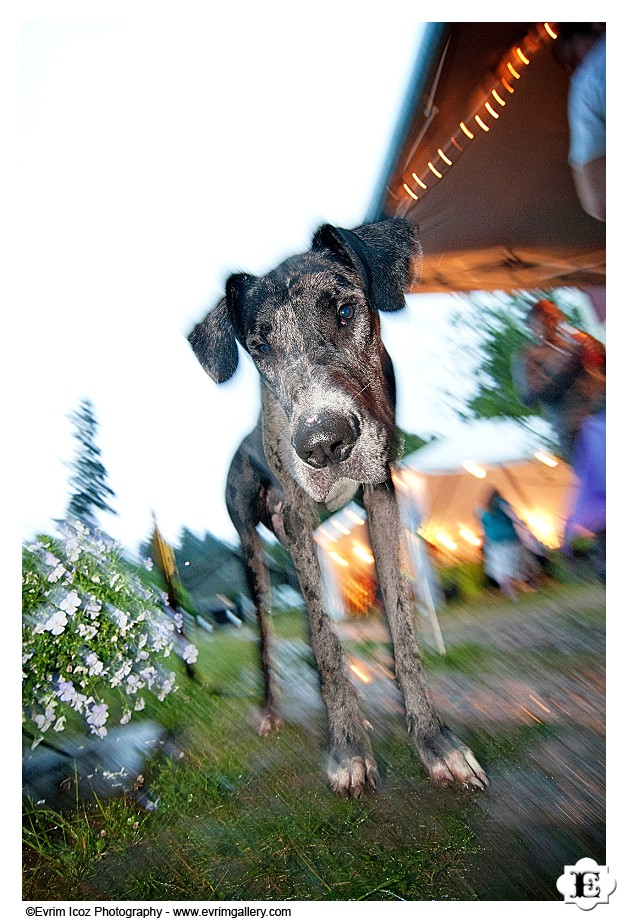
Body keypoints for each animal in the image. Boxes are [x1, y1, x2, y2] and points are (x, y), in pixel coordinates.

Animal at [189, 220, 488, 796]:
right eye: (259, 346)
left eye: (346, 310)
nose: (323, 443)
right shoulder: (299, 515)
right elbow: (326, 642)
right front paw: (348, 748)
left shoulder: (381, 492)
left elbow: (398, 617)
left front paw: (433, 739)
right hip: (254, 553)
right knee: (268, 633)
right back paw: (271, 710)